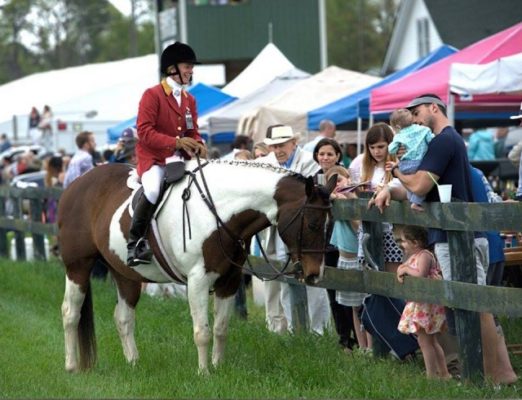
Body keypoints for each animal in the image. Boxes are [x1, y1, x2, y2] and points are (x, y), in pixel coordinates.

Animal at [57, 159, 334, 372]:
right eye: (312, 224)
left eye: (330, 225)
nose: (314, 274)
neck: (219, 211)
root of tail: (76, 183)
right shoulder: (198, 280)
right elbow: (202, 331)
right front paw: (204, 373)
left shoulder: (229, 280)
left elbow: (221, 328)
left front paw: (218, 367)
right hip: (78, 267)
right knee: (71, 312)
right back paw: (71, 366)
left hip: (126, 274)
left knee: (123, 318)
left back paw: (134, 363)